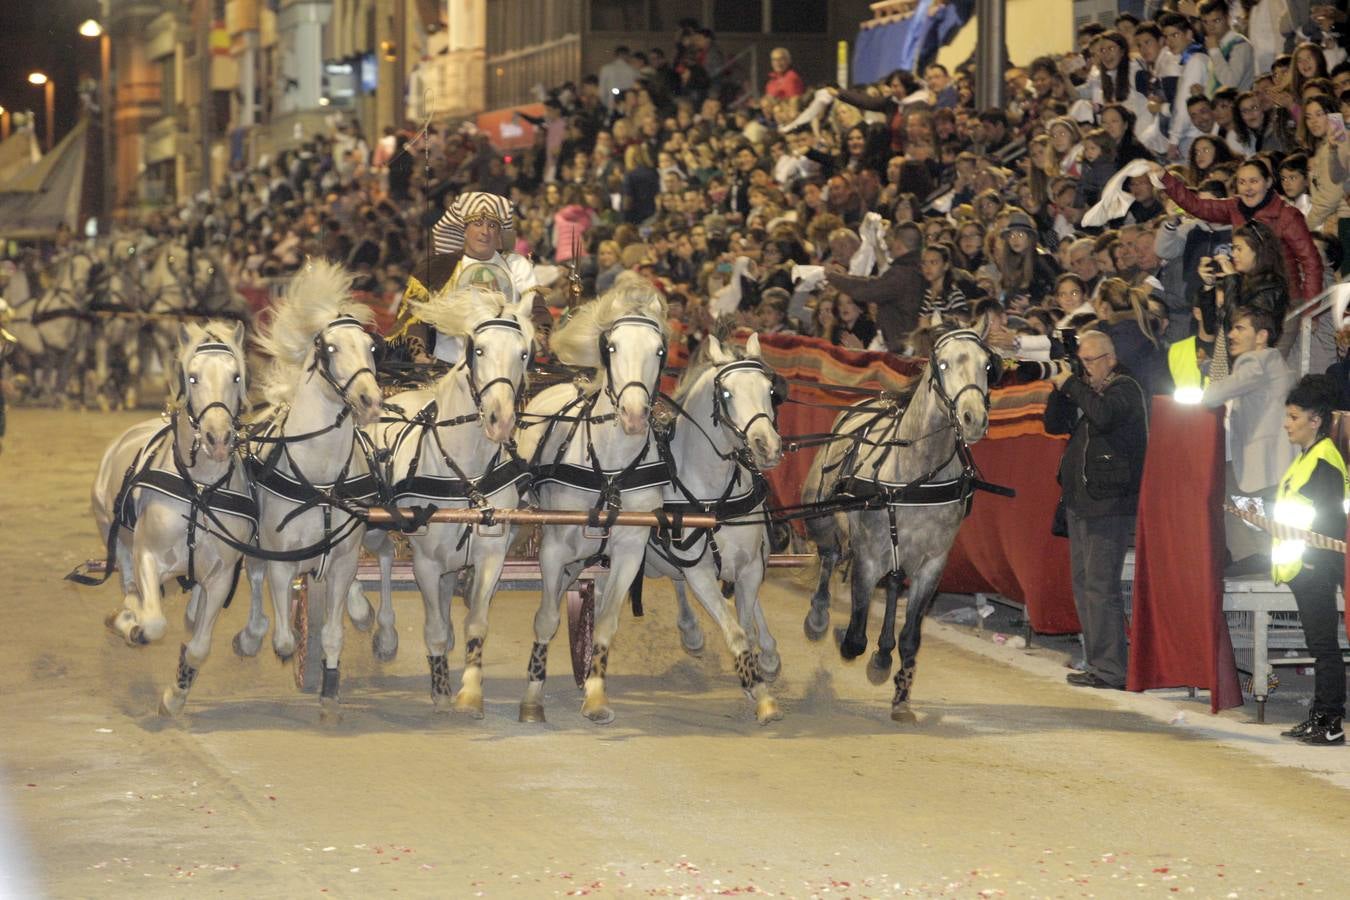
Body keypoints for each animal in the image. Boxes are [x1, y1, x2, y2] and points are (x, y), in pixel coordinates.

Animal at [85, 319, 253, 712]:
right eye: (193, 377)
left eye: (236, 376)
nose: (218, 438)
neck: (200, 491)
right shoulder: (147, 555)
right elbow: (154, 623)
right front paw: (132, 627)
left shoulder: (221, 577)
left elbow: (199, 647)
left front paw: (176, 695)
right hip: (112, 532)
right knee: (129, 586)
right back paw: (125, 616)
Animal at [237, 260, 383, 723]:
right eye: (330, 349)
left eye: (371, 347)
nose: (370, 400)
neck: (320, 481)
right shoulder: (282, 560)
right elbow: (284, 635)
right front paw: (276, 644)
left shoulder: (343, 559)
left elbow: (333, 631)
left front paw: (330, 690)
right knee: (256, 579)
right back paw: (249, 636)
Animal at [364, 284, 537, 712]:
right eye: (479, 350)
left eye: (524, 352)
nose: (500, 419)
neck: (466, 474)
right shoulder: (424, 562)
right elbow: (434, 629)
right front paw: (440, 688)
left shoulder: (491, 554)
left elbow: (476, 621)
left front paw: (470, 691)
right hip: (372, 524)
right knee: (380, 559)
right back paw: (380, 631)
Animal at [510, 275, 669, 723]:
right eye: (611, 347)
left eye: (660, 350)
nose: (633, 415)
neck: (611, 471)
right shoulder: (552, 547)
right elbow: (545, 618)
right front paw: (532, 698)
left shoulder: (630, 550)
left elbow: (606, 624)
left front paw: (596, 696)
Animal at [639, 334, 783, 723]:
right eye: (727, 394)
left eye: (770, 390)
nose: (767, 446)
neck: (713, 497)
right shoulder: (701, 573)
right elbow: (735, 631)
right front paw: (758, 692)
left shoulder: (750, 566)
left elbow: (746, 622)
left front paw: (758, 670)